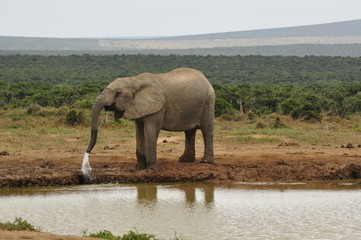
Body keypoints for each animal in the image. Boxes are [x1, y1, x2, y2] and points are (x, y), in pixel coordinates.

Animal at [84, 67, 214, 171]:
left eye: (118, 93)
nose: (87, 152)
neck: (135, 80)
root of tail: (205, 78)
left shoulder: (158, 107)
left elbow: (150, 131)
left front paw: (151, 169)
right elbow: (139, 132)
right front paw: (138, 169)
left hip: (208, 101)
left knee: (206, 129)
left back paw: (206, 162)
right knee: (189, 131)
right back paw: (184, 160)